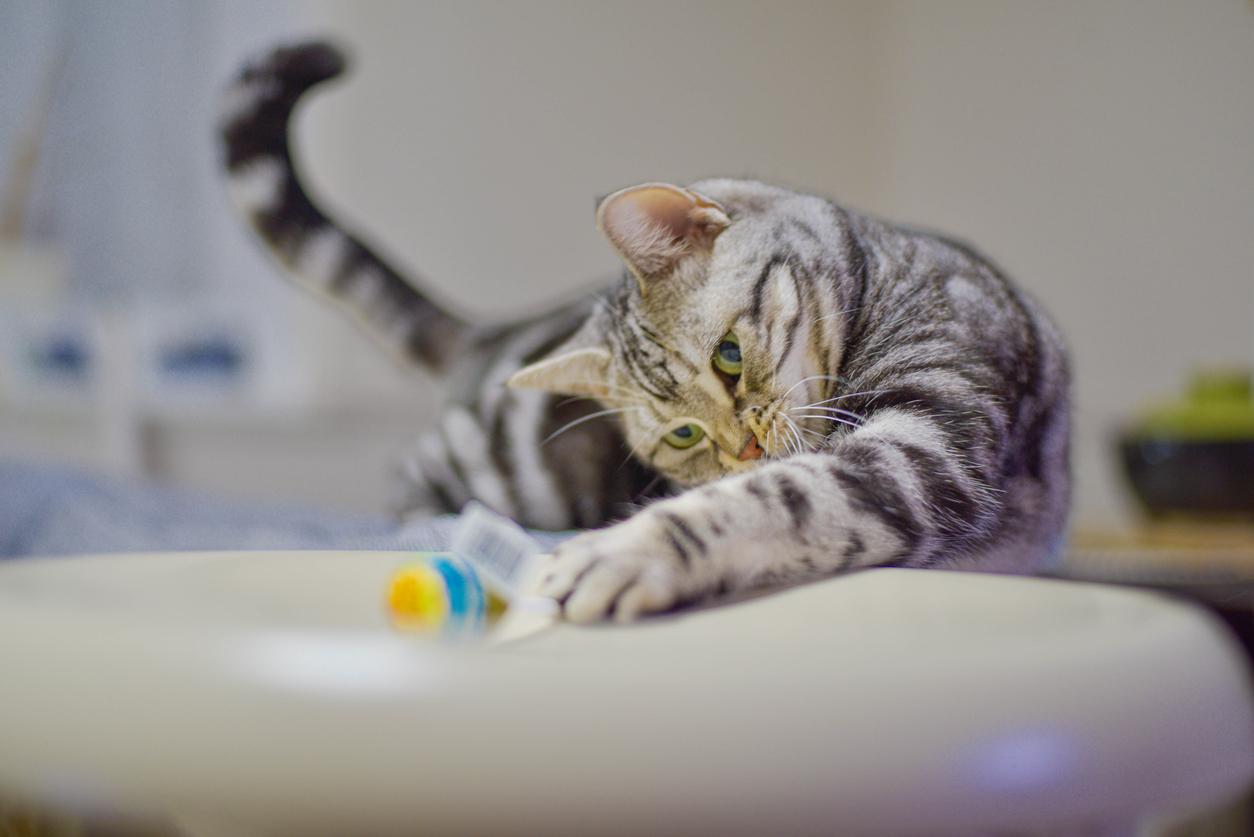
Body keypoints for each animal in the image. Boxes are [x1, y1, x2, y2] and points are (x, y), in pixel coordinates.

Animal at [218, 42, 1068, 624]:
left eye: (730, 357)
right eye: (684, 434)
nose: (740, 450)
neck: (882, 280)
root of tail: (499, 327)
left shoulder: (931, 439)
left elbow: (777, 497)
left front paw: (624, 548)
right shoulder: (922, 450)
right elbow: (778, 494)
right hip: (505, 466)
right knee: (408, 476)